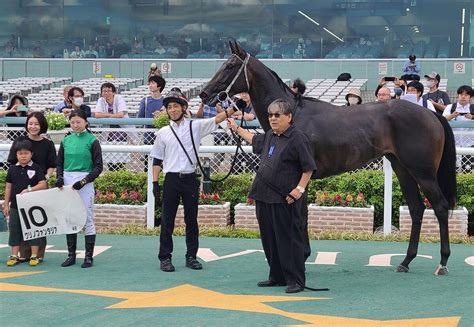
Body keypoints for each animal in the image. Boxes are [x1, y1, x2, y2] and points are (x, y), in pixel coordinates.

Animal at [199, 41, 456, 276]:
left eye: (230, 65)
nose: (204, 94)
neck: (293, 115)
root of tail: (432, 115)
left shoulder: (301, 176)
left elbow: (300, 217)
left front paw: (302, 257)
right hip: (403, 169)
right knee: (416, 209)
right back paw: (406, 261)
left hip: (423, 172)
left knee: (440, 207)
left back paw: (443, 262)